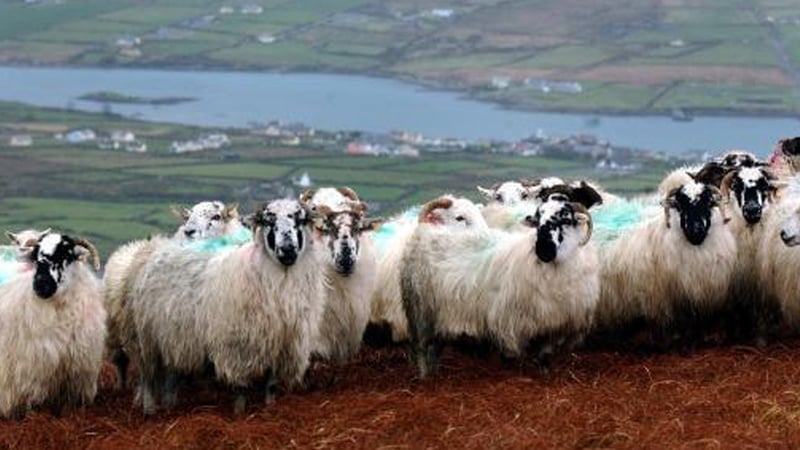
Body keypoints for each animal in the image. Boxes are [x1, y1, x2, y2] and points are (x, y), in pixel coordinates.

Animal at [104, 201, 245, 390]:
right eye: (188, 216)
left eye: (216, 216)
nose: (188, 231)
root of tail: (136, 244)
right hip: (121, 332)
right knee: (123, 362)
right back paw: (123, 386)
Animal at [129, 199, 326, 415]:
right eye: (268, 221)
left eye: (301, 220)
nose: (288, 250)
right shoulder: (238, 345)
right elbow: (241, 387)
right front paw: (239, 412)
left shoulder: (282, 342)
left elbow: (271, 384)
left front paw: (270, 407)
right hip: (149, 339)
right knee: (149, 377)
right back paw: (150, 410)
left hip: (175, 339)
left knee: (172, 375)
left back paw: (169, 405)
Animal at [401, 194, 598, 378]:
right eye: (538, 218)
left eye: (566, 218)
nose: (544, 250)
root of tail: (427, 229)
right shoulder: (512, 322)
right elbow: (513, 356)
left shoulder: (556, 323)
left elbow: (545, 356)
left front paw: (545, 374)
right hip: (421, 310)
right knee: (422, 348)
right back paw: (425, 377)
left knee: (435, 348)